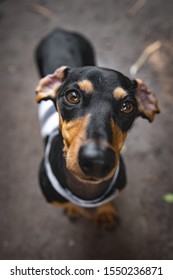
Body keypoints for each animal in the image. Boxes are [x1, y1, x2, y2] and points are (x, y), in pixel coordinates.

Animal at [34, 28, 159, 229]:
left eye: (127, 106)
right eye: (73, 96)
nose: (97, 161)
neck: (87, 193)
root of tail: (59, 31)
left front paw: (106, 212)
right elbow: (68, 203)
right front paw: (73, 209)